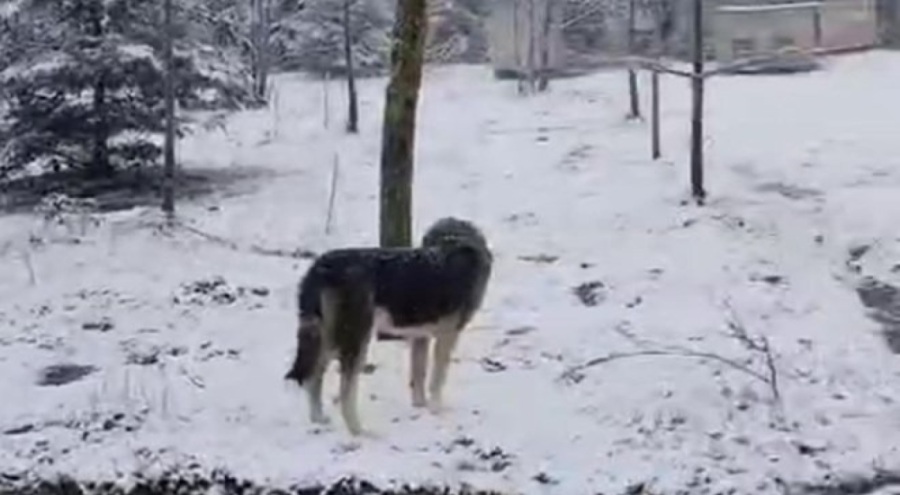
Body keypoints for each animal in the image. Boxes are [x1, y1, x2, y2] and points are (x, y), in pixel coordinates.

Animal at [284, 219, 492, 436]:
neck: (455, 244)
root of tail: (319, 268)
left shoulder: (421, 336)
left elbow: (418, 376)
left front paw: (420, 407)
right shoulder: (448, 336)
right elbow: (437, 379)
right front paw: (436, 411)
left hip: (327, 338)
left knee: (313, 376)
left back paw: (318, 420)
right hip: (354, 339)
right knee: (344, 391)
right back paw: (359, 432)